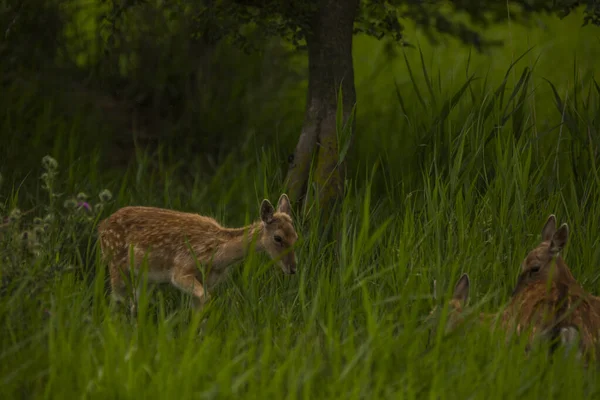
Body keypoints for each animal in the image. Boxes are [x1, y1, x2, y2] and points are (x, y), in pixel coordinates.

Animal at [98, 194, 300, 316]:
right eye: (278, 238)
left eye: (296, 236)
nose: (292, 269)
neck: (217, 256)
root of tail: (101, 226)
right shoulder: (180, 271)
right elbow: (205, 298)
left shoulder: (208, 281)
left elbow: (200, 305)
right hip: (115, 263)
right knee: (116, 301)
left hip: (145, 278)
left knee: (135, 304)